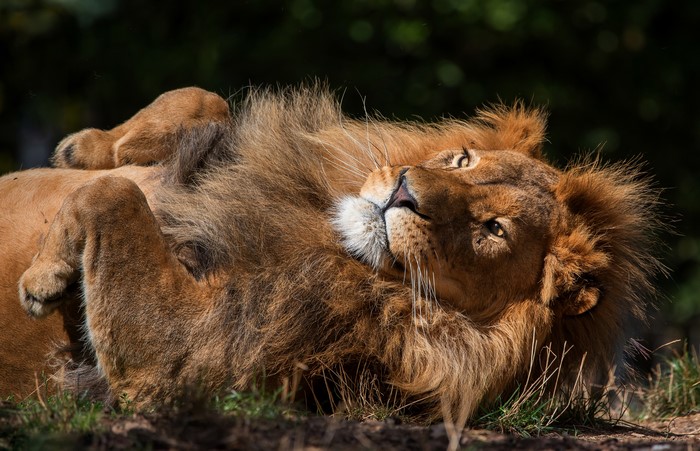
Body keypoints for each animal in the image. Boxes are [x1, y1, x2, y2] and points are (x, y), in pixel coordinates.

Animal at [0, 86, 662, 425]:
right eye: (463, 160)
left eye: (492, 229)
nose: (404, 191)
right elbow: (202, 100)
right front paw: (85, 148)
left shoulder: (184, 363)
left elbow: (114, 195)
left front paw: (43, 276)